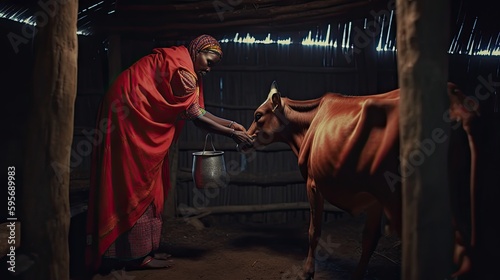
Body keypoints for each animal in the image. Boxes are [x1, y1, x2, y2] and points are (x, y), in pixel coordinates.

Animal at [244, 81, 478, 280]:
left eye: (258, 115)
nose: (245, 139)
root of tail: (455, 100)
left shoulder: (313, 183)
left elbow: (314, 231)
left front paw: (308, 272)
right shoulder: (375, 197)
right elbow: (369, 240)